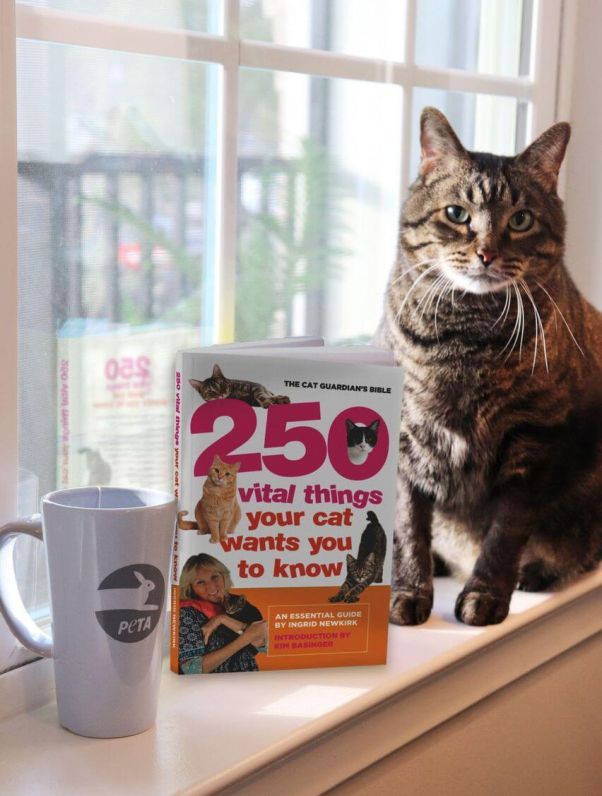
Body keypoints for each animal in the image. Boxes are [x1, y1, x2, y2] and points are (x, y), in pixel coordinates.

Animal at [376, 107, 600, 628]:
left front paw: (487, 596)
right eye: (457, 214)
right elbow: (408, 527)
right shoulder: (405, 443)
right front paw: (408, 590)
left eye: (520, 220)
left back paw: (533, 573)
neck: (466, 339)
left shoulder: (532, 440)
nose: (486, 252)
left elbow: (504, 532)